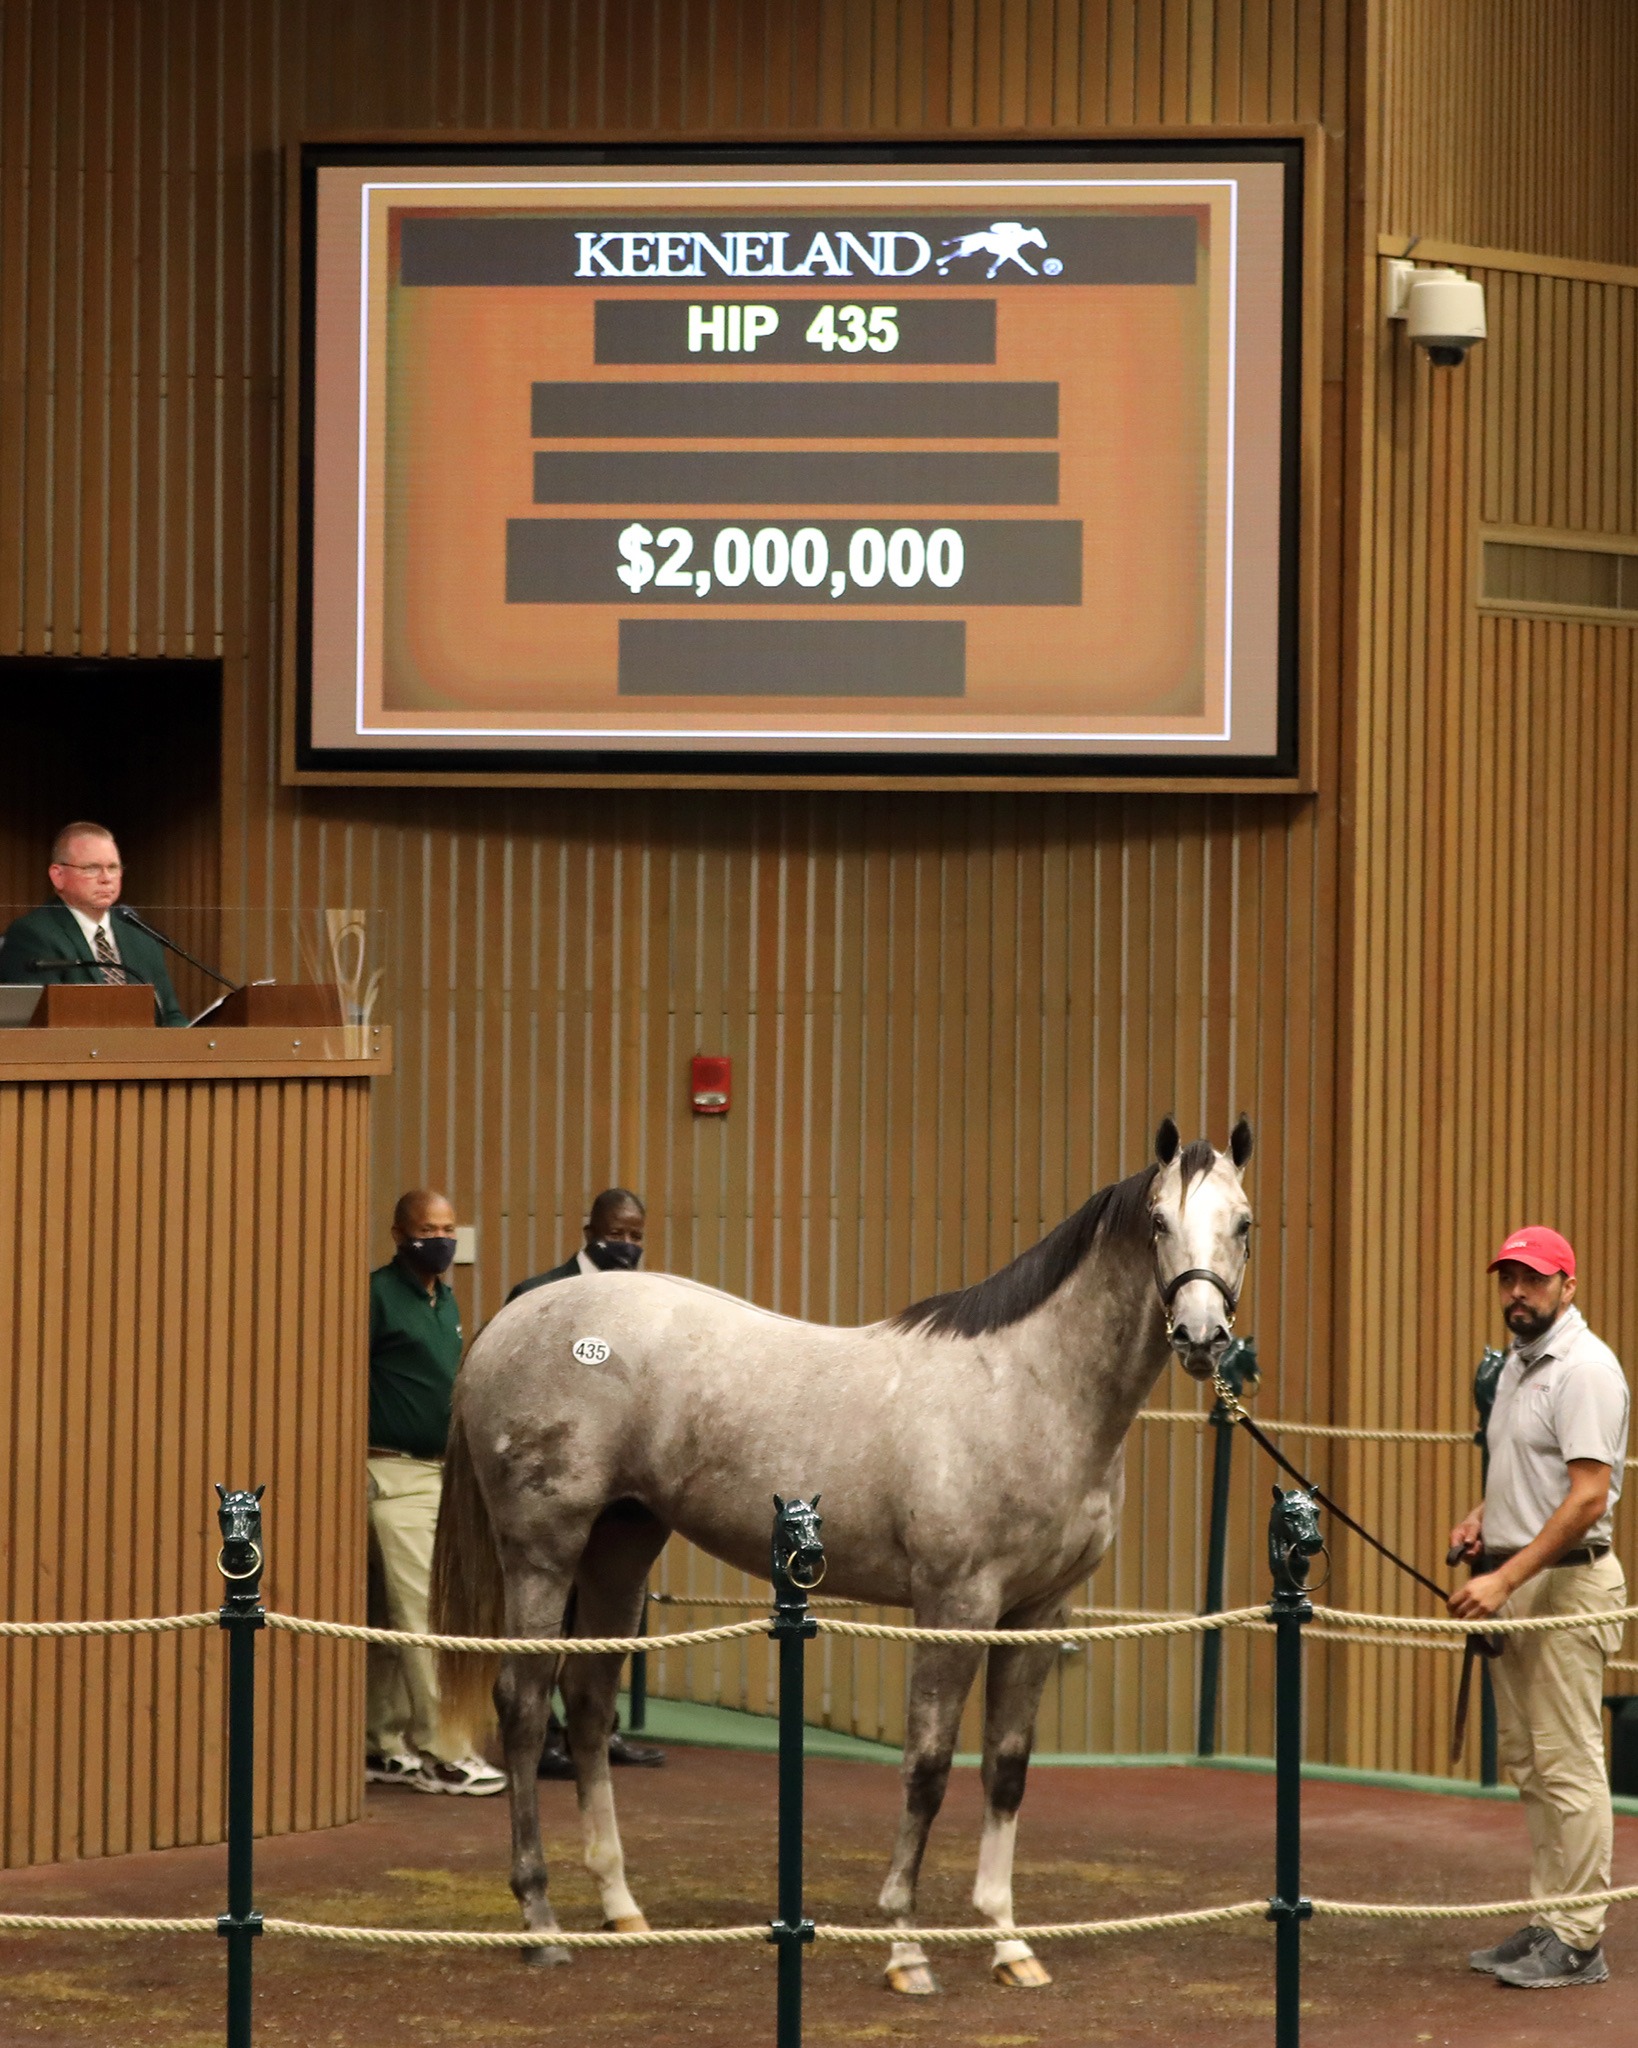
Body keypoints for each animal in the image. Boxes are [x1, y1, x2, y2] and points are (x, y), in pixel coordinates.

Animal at [432, 1114, 1253, 1990]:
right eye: (1158, 1222)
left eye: (1243, 1224)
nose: (1202, 1338)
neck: (1029, 1389)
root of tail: (510, 1323)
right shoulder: (954, 1606)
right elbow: (927, 1767)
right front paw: (905, 1950)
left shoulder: (1039, 1613)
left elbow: (1007, 1769)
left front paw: (1009, 1945)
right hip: (543, 1552)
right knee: (523, 1707)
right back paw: (540, 1919)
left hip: (622, 1544)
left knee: (587, 1703)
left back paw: (621, 1908)